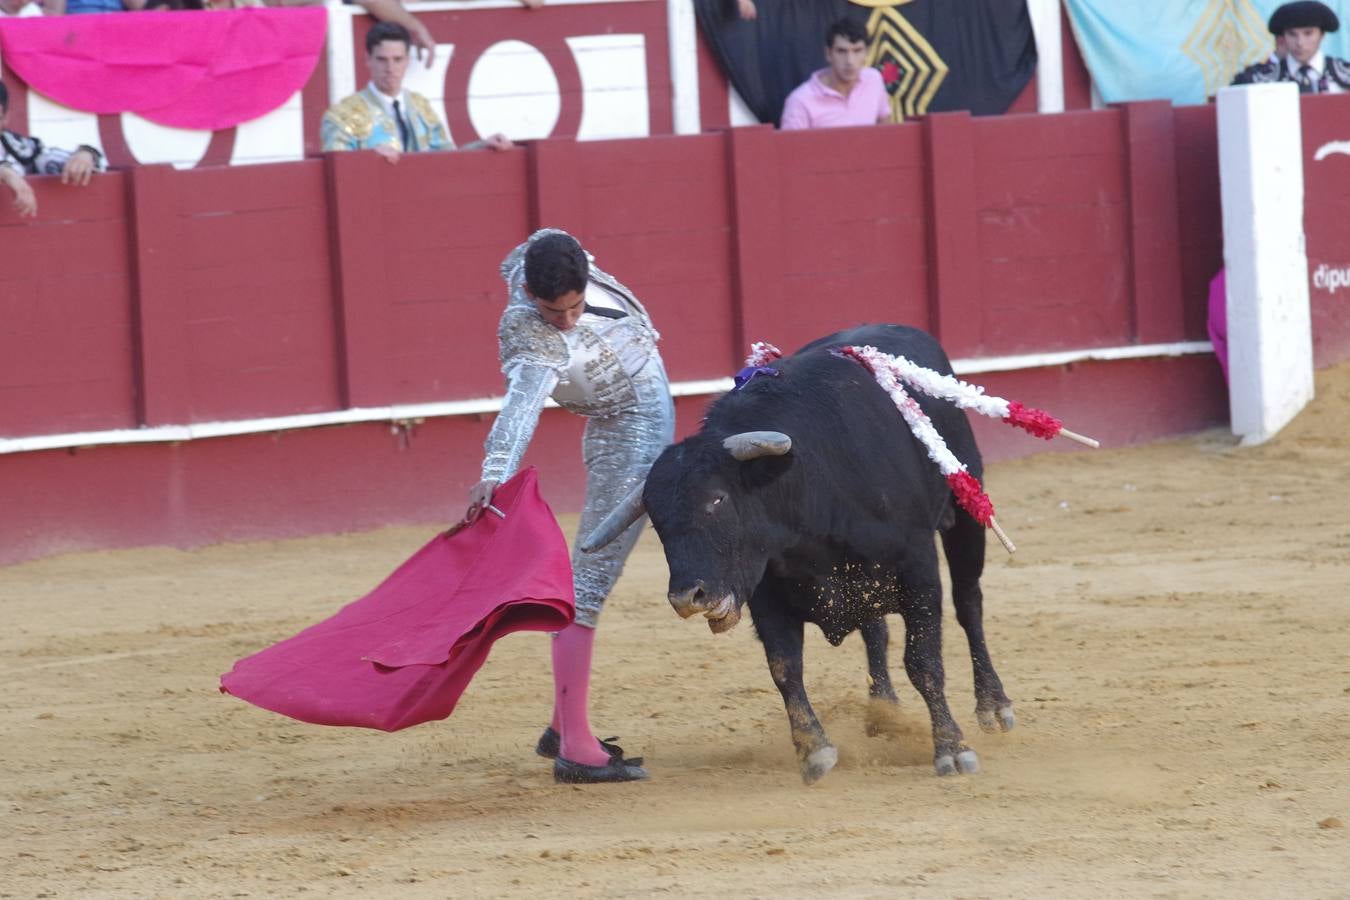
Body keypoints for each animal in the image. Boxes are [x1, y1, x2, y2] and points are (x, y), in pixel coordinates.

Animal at [580, 327, 1015, 782]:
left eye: (717, 498)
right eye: (656, 520)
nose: (687, 597)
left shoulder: (919, 570)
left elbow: (924, 662)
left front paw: (951, 748)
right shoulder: (766, 592)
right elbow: (784, 668)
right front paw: (814, 751)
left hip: (966, 514)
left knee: (968, 603)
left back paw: (993, 704)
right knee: (876, 630)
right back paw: (883, 712)